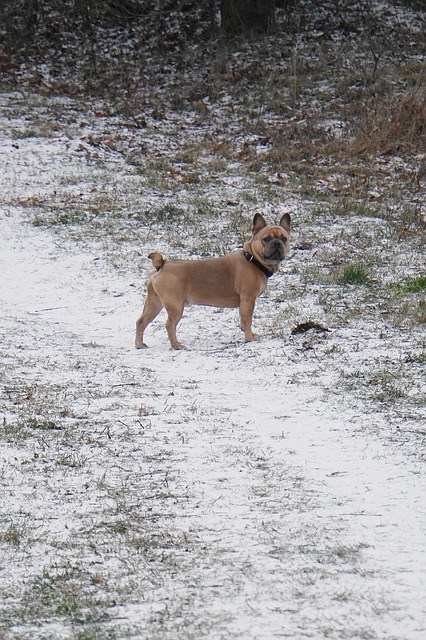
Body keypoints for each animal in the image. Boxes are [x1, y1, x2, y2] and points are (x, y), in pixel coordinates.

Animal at [135, 211, 292, 350]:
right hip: (175, 306)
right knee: (169, 325)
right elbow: (247, 320)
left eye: (284, 239)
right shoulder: (248, 299)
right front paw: (249, 338)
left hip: (154, 303)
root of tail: (162, 264)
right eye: (266, 239)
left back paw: (139, 344)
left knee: (141, 322)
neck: (253, 259)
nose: (277, 243)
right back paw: (176, 346)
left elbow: (243, 321)